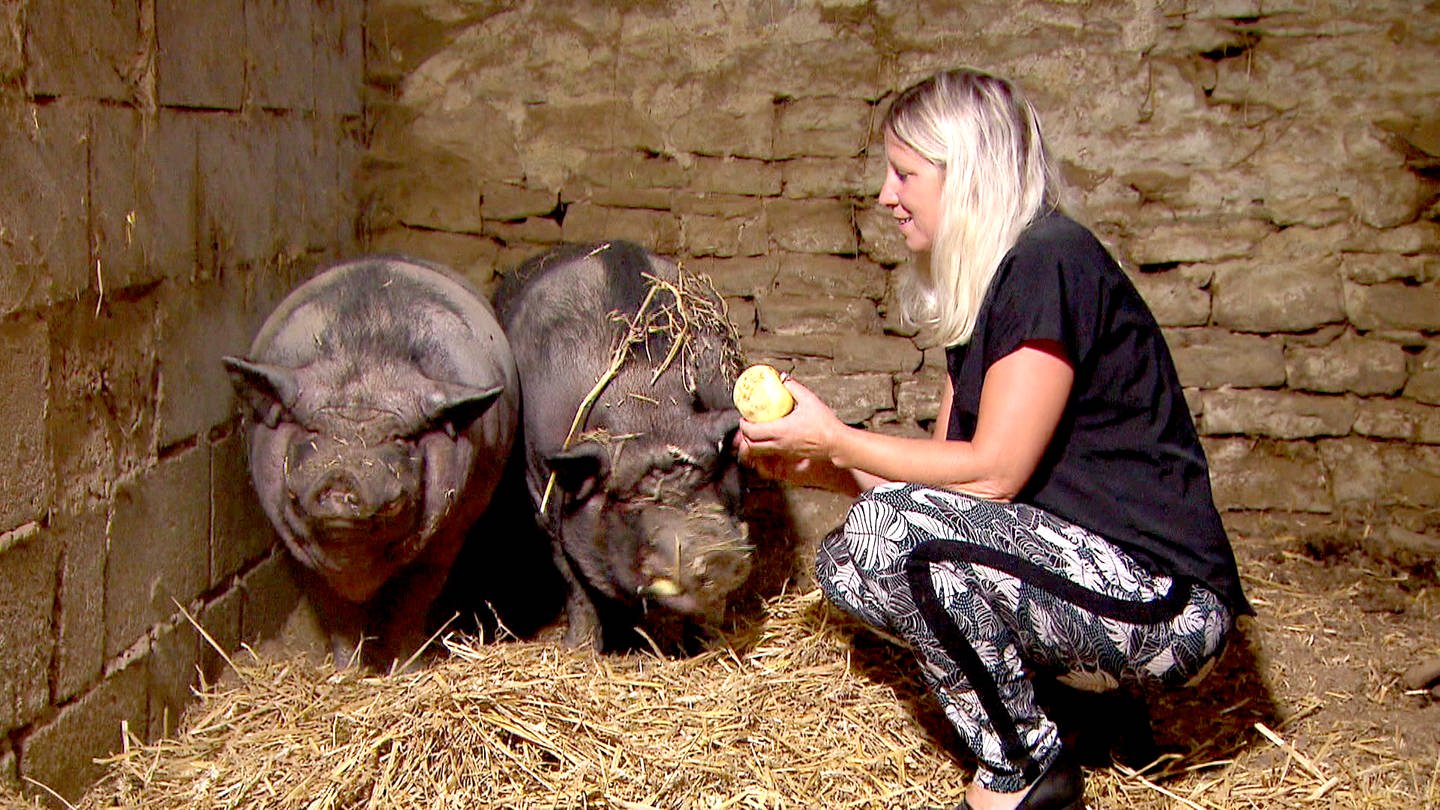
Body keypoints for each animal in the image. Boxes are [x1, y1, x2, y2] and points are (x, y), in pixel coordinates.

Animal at [224, 253, 518, 668]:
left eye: (398, 438)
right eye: (312, 430)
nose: (341, 479)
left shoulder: (445, 538)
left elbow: (410, 605)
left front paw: (403, 667)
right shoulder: (297, 546)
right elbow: (335, 612)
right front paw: (346, 670)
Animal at [495, 237, 754, 648]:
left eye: (711, 475)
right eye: (631, 499)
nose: (717, 554)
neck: (648, 412)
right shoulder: (542, 497)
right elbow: (573, 583)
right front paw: (580, 649)